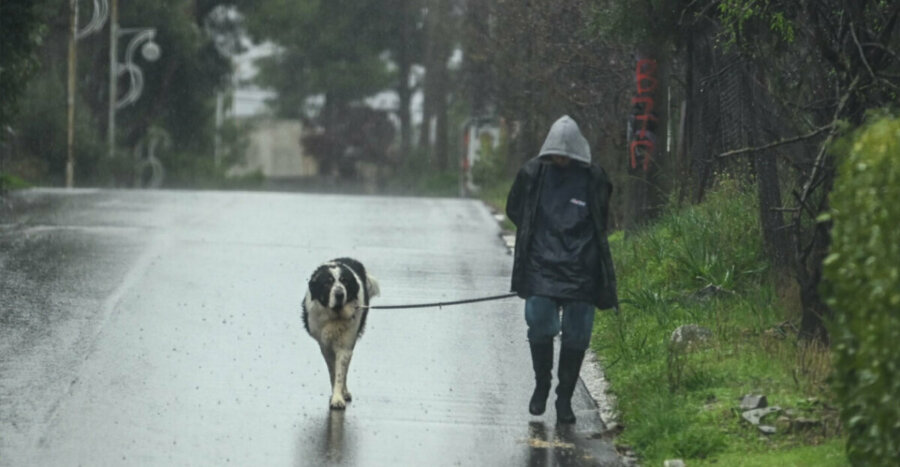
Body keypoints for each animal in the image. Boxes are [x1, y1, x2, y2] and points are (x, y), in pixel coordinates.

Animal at [298, 258, 376, 412]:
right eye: (327, 283)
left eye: (344, 281)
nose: (339, 294)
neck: (335, 316)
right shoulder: (325, 345)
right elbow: (333, 371)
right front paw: (336, 394)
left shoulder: (346, 345)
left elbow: (340, 372)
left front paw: (338, 398)